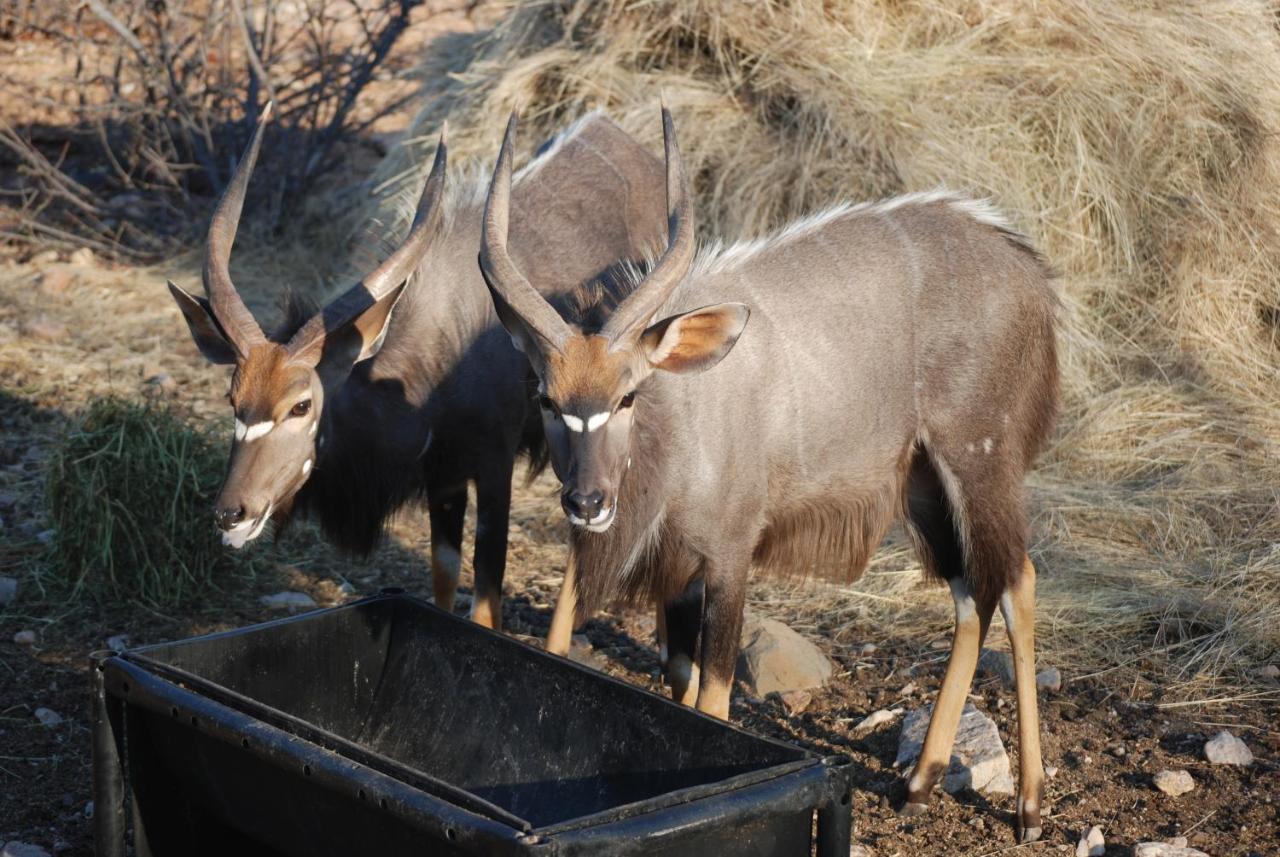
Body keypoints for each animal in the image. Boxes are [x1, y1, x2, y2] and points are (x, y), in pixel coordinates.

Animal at [166, 105, 665, 631]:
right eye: (232, 399)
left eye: (301, 405)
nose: (231, 514)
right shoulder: (443, 479)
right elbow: (443, 574)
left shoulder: (493, 464)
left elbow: (485, 592)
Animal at [481, 109, 1059, 844]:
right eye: (546, 397)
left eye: (628, 395)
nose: (588, 502)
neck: (686, 419)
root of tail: (1029, 274)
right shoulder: (680, 571)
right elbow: (679, 689)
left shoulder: (731, 553)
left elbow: (714, 696)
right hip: (926, 482)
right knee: (969, 594)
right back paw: (920, 783)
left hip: (980, 457)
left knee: (1017, 581)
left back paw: (1031, 806)